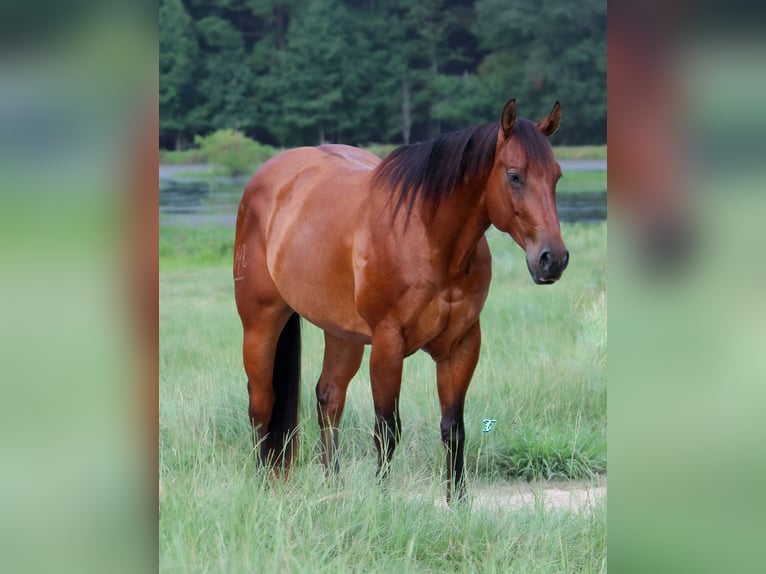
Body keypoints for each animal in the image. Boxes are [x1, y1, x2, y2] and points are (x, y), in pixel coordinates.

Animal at [234, 99, 568, 504]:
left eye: (556, 176)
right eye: (515, 176)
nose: (552, 259)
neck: (428, 237)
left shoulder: (462, 345)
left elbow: (453, 428)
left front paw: (458, 502)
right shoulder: (388, 344)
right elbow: (387, 428)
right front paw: (382, 500)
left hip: (342, 333)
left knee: (328, 397)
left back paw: (334, 489)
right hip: (261, 322)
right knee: (262, 402)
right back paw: (263, 486)